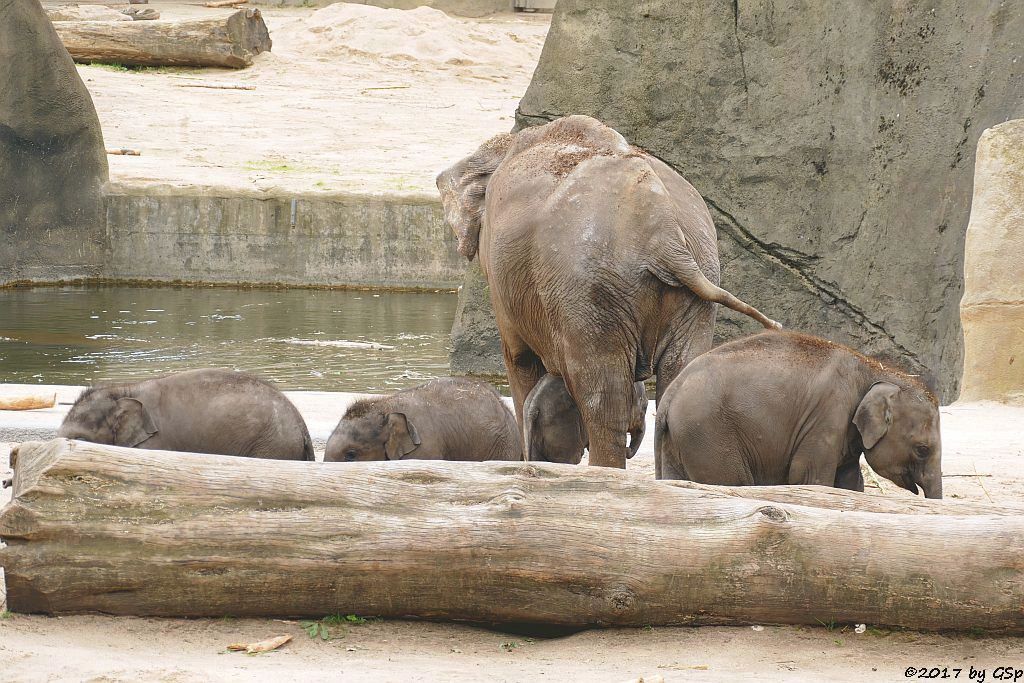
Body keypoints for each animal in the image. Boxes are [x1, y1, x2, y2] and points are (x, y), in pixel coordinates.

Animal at [432, 117, 774, 471]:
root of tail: (663, 228)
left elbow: (519, 358)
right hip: (693, 280)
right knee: (676, 372)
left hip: (590, 291)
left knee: (602, 399)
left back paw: (603, 469)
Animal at [655, 331, 942, 499]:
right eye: (922, 449)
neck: (874, 369)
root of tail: (670, 394)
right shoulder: (827, 417)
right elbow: (810, 478)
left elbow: (850, 482)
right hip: (707, 434)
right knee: (731, 481)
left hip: (680, 439)